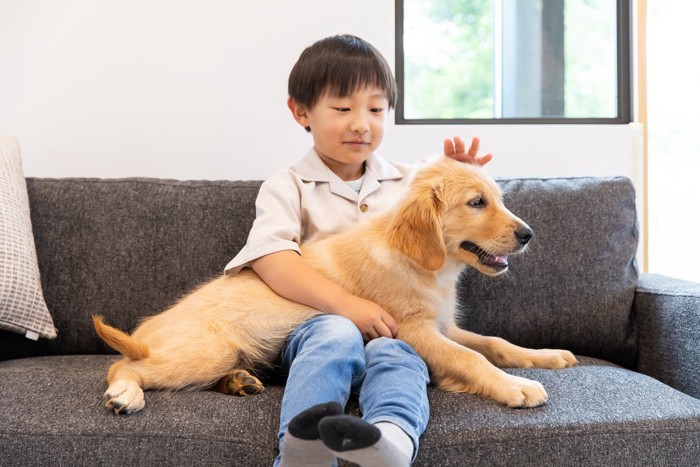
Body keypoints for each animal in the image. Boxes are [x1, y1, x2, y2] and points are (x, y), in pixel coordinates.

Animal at [94, 159, 576, 414]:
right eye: (477, 203)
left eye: (499, 199)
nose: (528, 234)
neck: (424, 266)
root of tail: (142, 333)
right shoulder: (412, 330)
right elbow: (470, 357)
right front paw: (514, 386)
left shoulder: (443, 325)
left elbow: (495, 343)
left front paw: (545, 356)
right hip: (207, 350)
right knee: (123, 366)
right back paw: (125, 394)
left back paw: (239, 382)